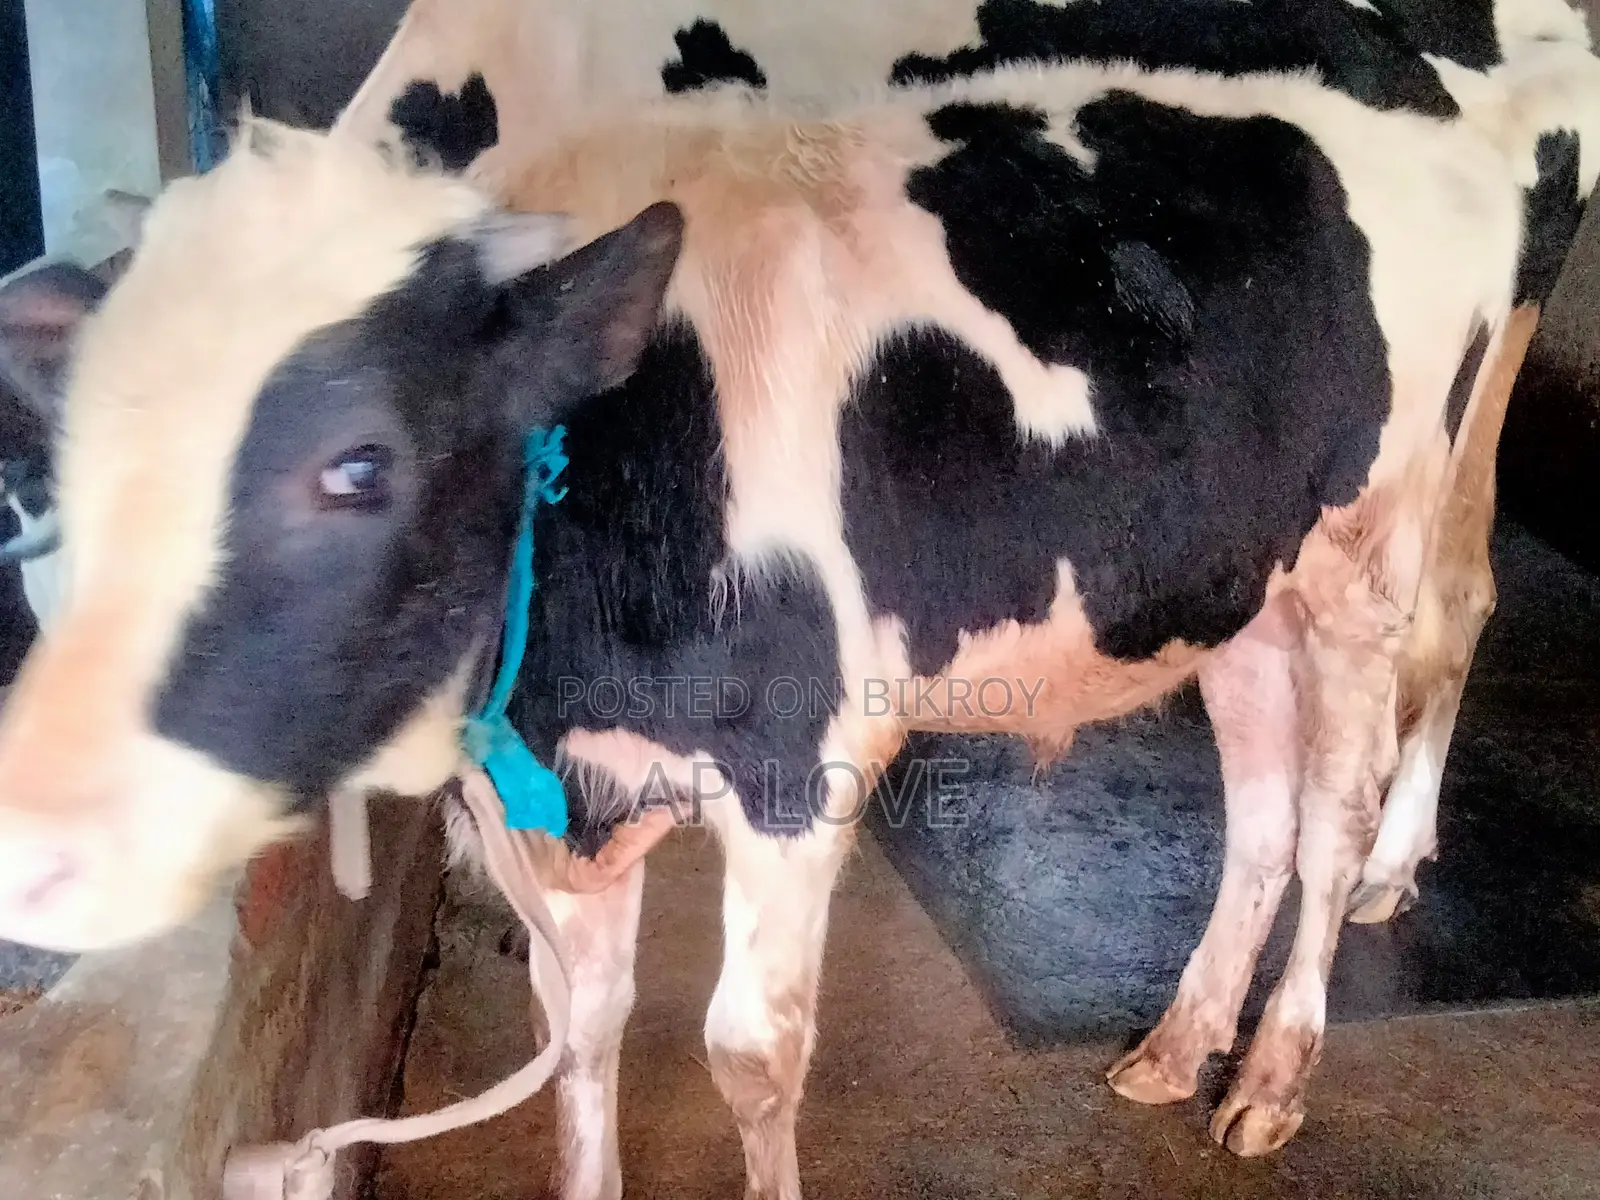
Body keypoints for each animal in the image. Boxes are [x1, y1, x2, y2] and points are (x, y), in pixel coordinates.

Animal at [2, 30, 1597, 1194]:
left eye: (358, 464)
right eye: (66, 448)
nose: (37, 846)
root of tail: (1420, 74)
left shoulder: (794, 764)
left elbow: (749, 1055)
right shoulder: (558, 798)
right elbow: (579, 1036)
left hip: (1370, 550)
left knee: (1334, 809)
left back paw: (1272, 1075)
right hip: (1237, 587)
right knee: (1259, 816)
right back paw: (1180, 1042)